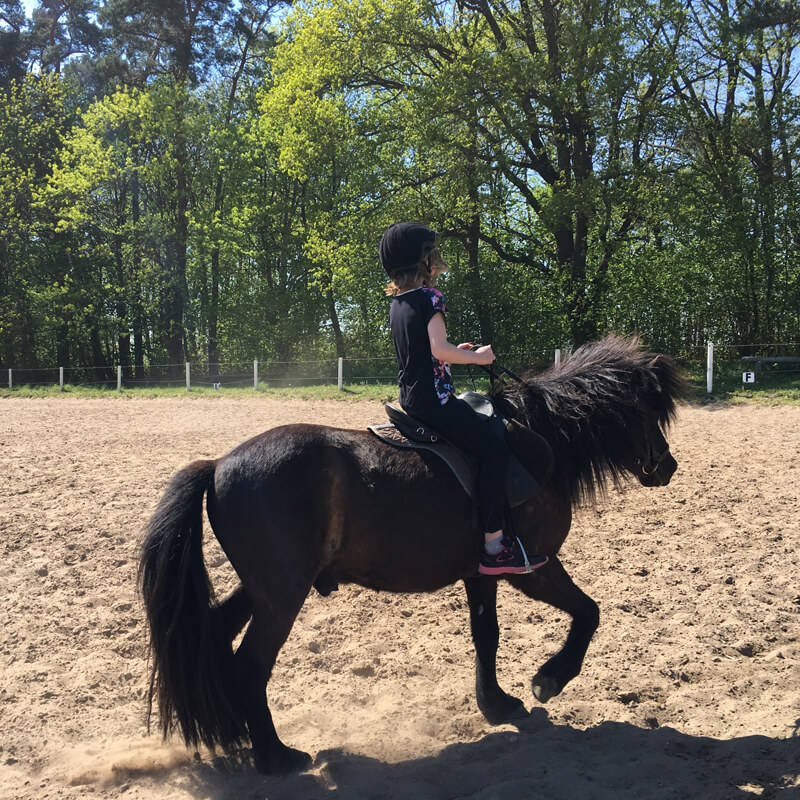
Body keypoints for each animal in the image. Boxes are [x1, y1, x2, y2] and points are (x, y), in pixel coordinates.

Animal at [139, 335, 687, 774]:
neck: (542, 437)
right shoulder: (533, 567)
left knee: (215, 636)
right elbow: (589, 613)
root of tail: (217, 464)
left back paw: (236, 735)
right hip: (281, 596)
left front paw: (496, 703)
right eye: (649, 413)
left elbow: (487, 635)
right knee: (250, 666)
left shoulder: (482, 572)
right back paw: (276, 756)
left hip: (263, 588)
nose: (667, 467)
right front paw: (549, 678)